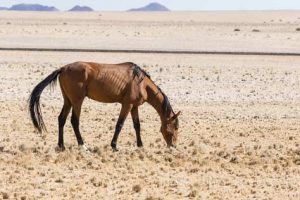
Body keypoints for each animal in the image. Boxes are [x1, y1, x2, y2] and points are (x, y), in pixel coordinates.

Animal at [28, 61, 180, 151]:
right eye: (175, 127)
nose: (173, 145)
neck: (141, 82)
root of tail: (63, 68)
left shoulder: (134, 107)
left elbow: (137, 126)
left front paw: (140, 145)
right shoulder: (127, 105)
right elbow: (119, 124)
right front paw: (114, 146)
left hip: (68, 100)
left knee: (61, 119)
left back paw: (61, 146)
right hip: (77, 101)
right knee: (74, 121)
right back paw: (83, 145)